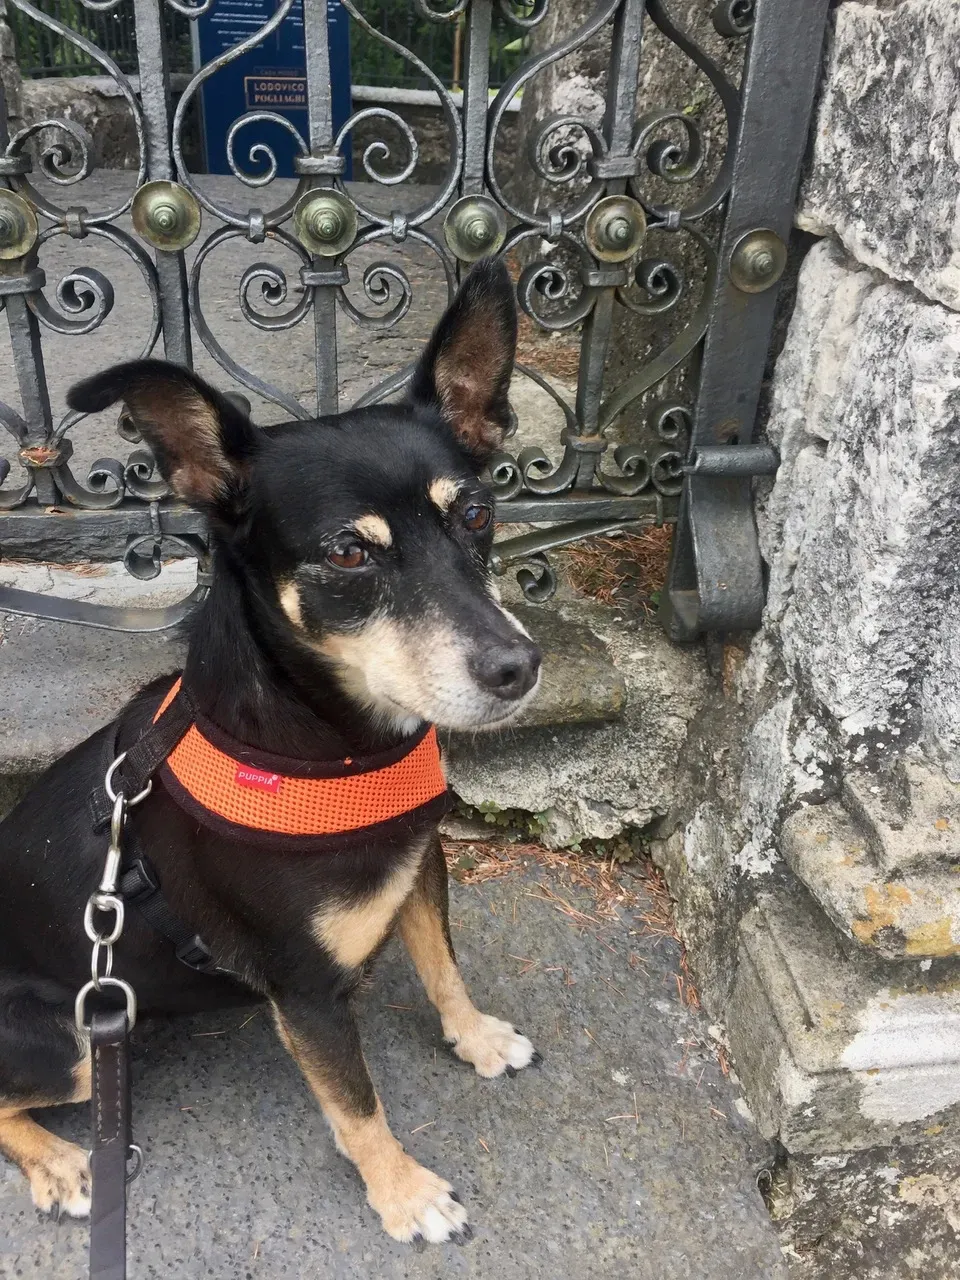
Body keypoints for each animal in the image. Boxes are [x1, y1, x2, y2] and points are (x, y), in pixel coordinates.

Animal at [0, 262, 542, 1249]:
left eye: (478, 511)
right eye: (348, 552)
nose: (518, 668)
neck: (335, 751)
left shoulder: (420, 865)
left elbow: (443, 964)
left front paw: (476, 1036)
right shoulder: (306, 991)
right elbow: (358, 1104)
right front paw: (403, 1194)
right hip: (66, 1045)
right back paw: (62, 1164)